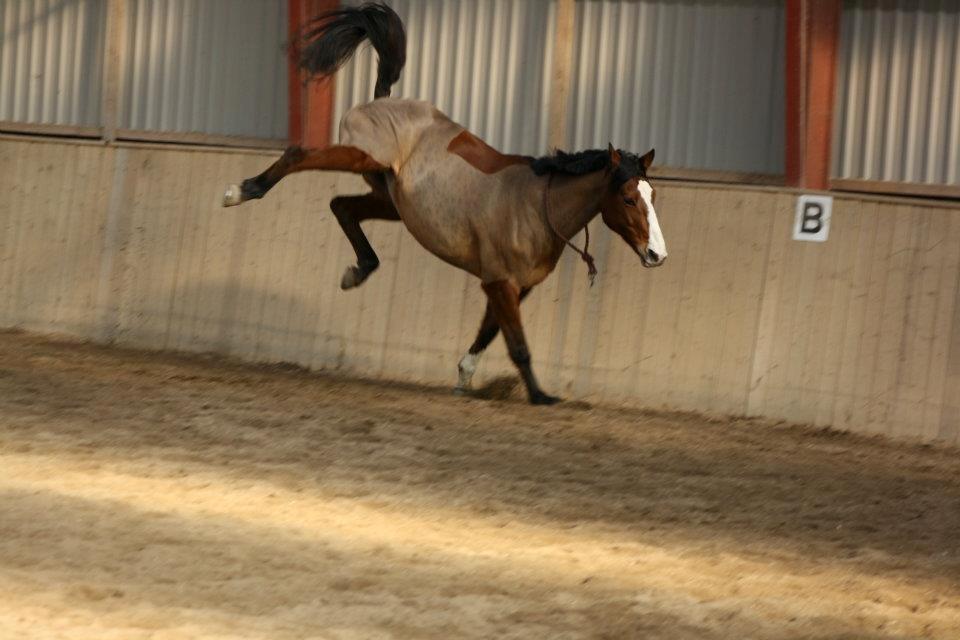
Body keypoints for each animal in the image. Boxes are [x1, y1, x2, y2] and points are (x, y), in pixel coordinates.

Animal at [223, 3, 668, 404]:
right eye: (629, 198)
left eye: (653, 196)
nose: (657, 255)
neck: (536, 208)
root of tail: (382, 100)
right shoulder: (500, 282)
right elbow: (518, 344)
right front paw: (541, 395)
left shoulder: (512, 287)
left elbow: (489, 333)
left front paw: (465, 378)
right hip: (359, 158)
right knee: (299, 157)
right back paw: (242, 191)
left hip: (390, 201)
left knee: (342, 207)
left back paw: (357, 271)